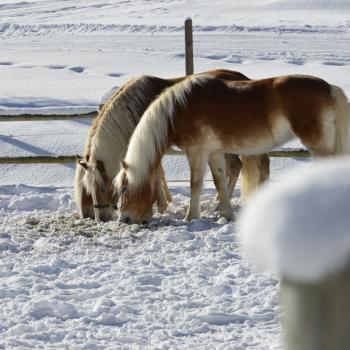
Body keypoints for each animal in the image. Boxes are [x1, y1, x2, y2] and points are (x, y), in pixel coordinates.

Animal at [75, 68, 270, 221]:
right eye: (86, 188)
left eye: (101, 187)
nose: (100, 218)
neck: (135, 112)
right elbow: (159, 174)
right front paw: (164, 203)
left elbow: (156, 174)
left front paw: (161, 207)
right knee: (237, 166)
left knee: (251, 164)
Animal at [114, 74, 348, 224]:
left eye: (124, 189)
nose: (124, 219)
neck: (178, 110)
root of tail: (330, 88)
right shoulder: (214, 152)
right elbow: (219, 181)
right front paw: (226, 214)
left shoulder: (197, 152)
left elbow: (195, 184)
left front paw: (191, 217)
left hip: (317, 145)